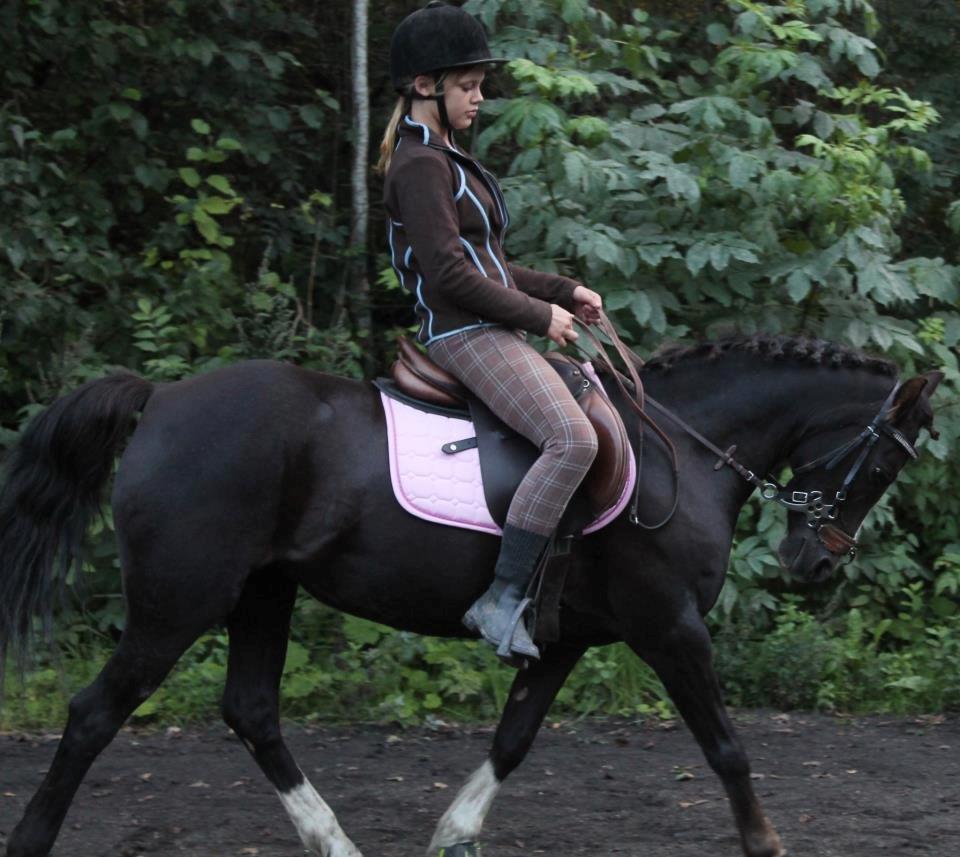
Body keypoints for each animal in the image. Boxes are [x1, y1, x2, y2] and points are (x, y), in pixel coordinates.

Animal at [0, 334, 941, 857]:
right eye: (884, 465)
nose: (814, 563)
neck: (683, 450)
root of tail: (161, 399)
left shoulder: (563, 636)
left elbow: (514, 737)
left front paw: (454, 831)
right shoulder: (669, 625)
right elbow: (727, 747)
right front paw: (765, 842)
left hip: (264, 592)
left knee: (251, 711)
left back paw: (335, 841)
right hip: (178, 603)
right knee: (94, 713)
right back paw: (32, 838)